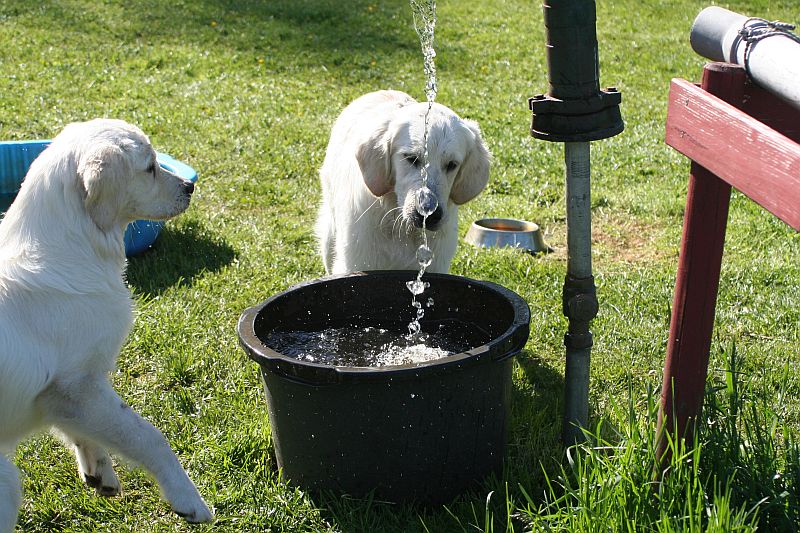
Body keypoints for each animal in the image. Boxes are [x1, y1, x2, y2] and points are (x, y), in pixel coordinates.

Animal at [0, 119, 213, 530]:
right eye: (150, 167)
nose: (190, 187)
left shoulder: (66, 394)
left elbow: (84, 431)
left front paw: (99, 471)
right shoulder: (76, 385)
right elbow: (148, 436)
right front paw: (189, 500)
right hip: (7, 483)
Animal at [316, 90, 491, 274]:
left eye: (452, 165)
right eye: (411, 158)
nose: (430, 215)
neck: (403, 232)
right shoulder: (357, 263)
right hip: (329, 237)